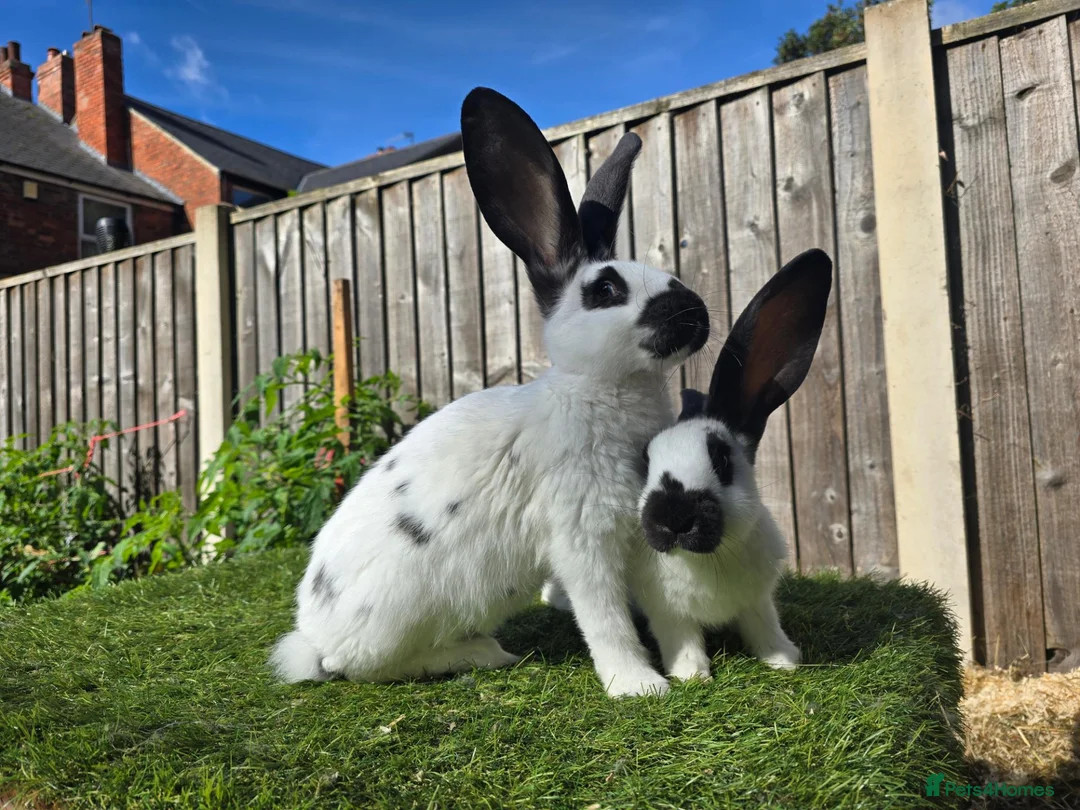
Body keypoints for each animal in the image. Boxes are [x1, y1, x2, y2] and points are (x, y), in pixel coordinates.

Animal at [269, 87, 711, 698]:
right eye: (605, 290)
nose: (699, 313)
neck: (599, 390)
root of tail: (312, 635)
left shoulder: (643, 535)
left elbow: (664, 609)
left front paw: (689, 669)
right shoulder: (582, 536)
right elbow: (605, 618)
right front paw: (639, 685)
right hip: (395, 618)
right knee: (359, 667)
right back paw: (481, 654)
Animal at [625, 248, 833, 681]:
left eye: (721, 458)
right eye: (645, 461)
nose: (673, 517)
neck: (707, 560)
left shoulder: (758, 599)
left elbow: (764, 625)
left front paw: (784, 660)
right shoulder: (668, 615)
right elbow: (683, 640)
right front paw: (691, 676)